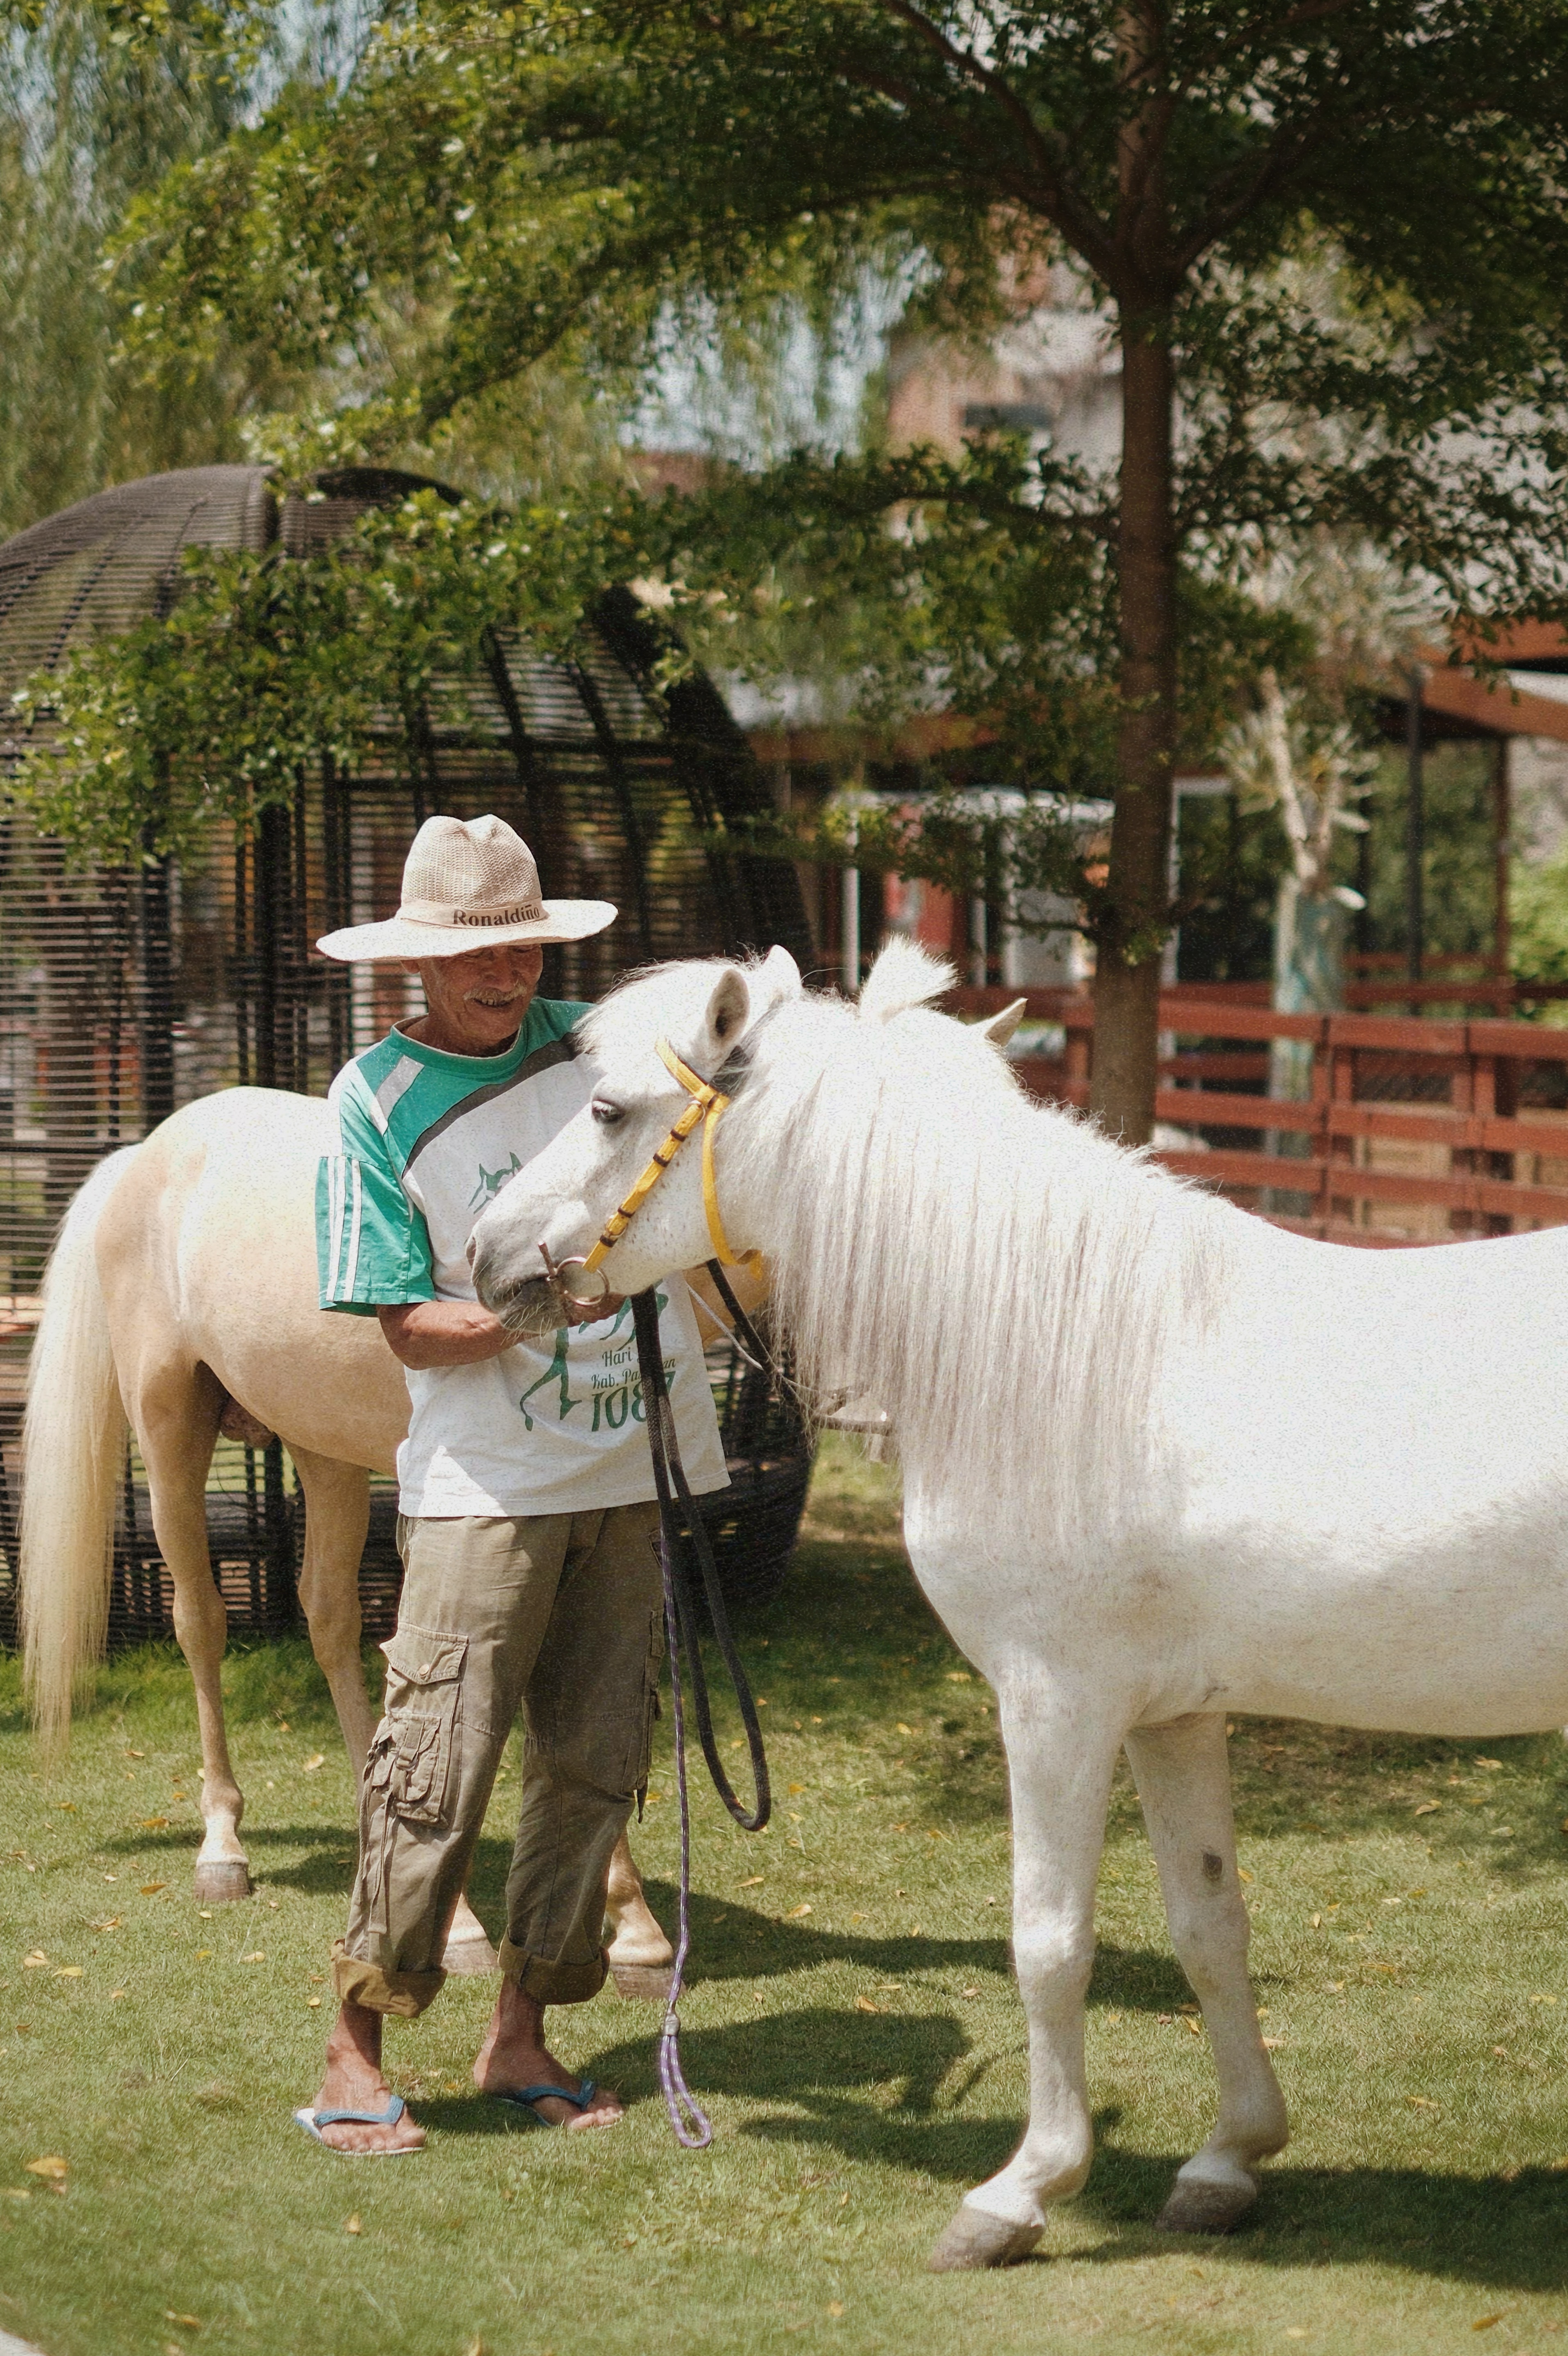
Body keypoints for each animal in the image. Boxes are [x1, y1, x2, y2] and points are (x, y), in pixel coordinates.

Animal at [20, 1086, 674, 1981]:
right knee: (202, 1622)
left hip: (321, 1452)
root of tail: (144, 1154)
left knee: (327, 1616)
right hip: (169, 1431)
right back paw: (227, 1849)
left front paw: (632, 1920)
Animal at [467, 934, 1568, 2269]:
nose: (486, 1252)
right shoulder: (1173, 1715)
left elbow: (1048, 1944)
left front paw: (1022, 2187)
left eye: (609, 1110)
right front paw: (1229, 2156)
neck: (1078, 1361)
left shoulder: (1056, 1706)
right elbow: (1211, 1925)